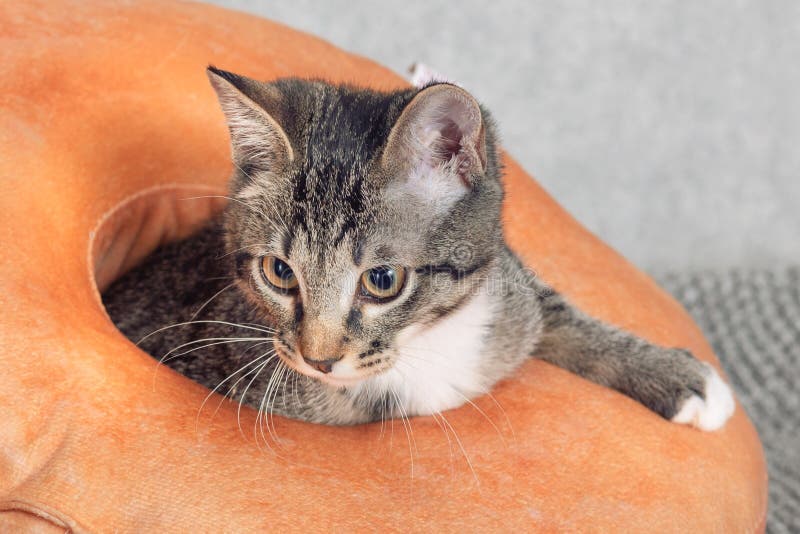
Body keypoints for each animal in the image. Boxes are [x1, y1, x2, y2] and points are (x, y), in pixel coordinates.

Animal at [103, 67, 736, 430]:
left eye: (383, 281)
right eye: (280, 271)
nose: (318, 358)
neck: (430, 343)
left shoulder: (510, 285)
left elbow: (557, 312)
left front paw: (675, 375)